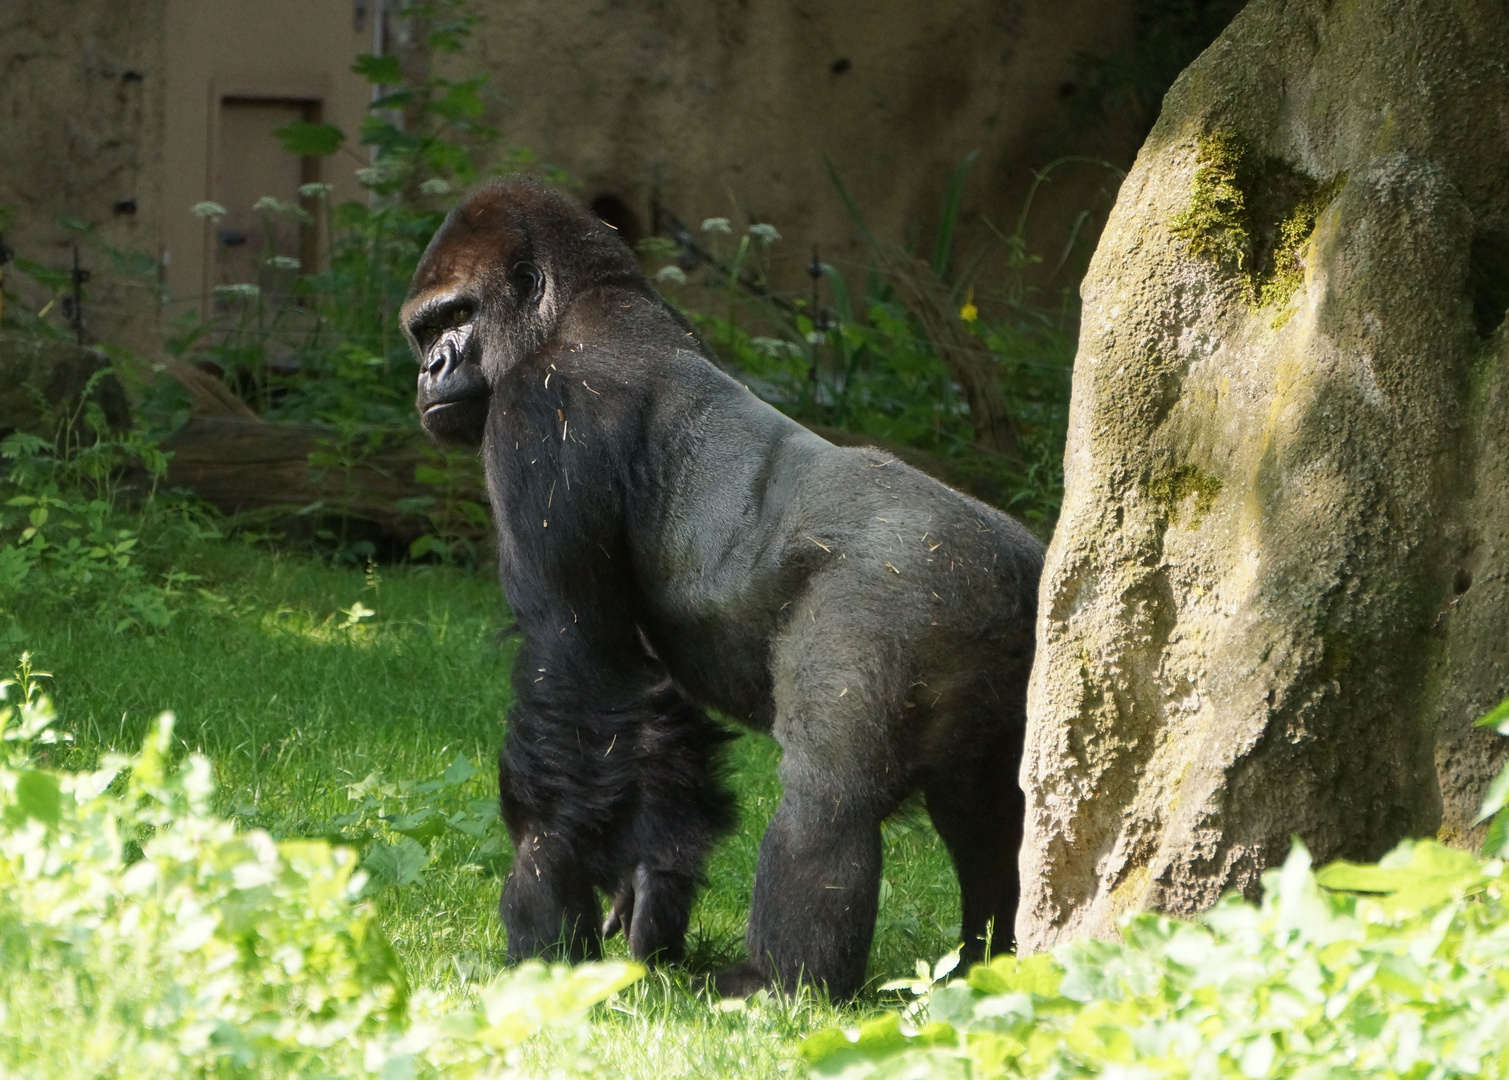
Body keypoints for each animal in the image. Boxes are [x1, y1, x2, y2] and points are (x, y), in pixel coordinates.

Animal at [401, 181, 1044, 1001]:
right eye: (425, 330)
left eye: (457, 316)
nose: (432, 367)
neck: (584, 306)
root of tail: (1022, 564)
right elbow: (640, 697)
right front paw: (650, 890)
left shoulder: (540, 416)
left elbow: (572, 661)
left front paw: (543, 908)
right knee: (992, 812)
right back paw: (987, 964)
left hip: (910, 590)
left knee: (827, 800)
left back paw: (780, 985)